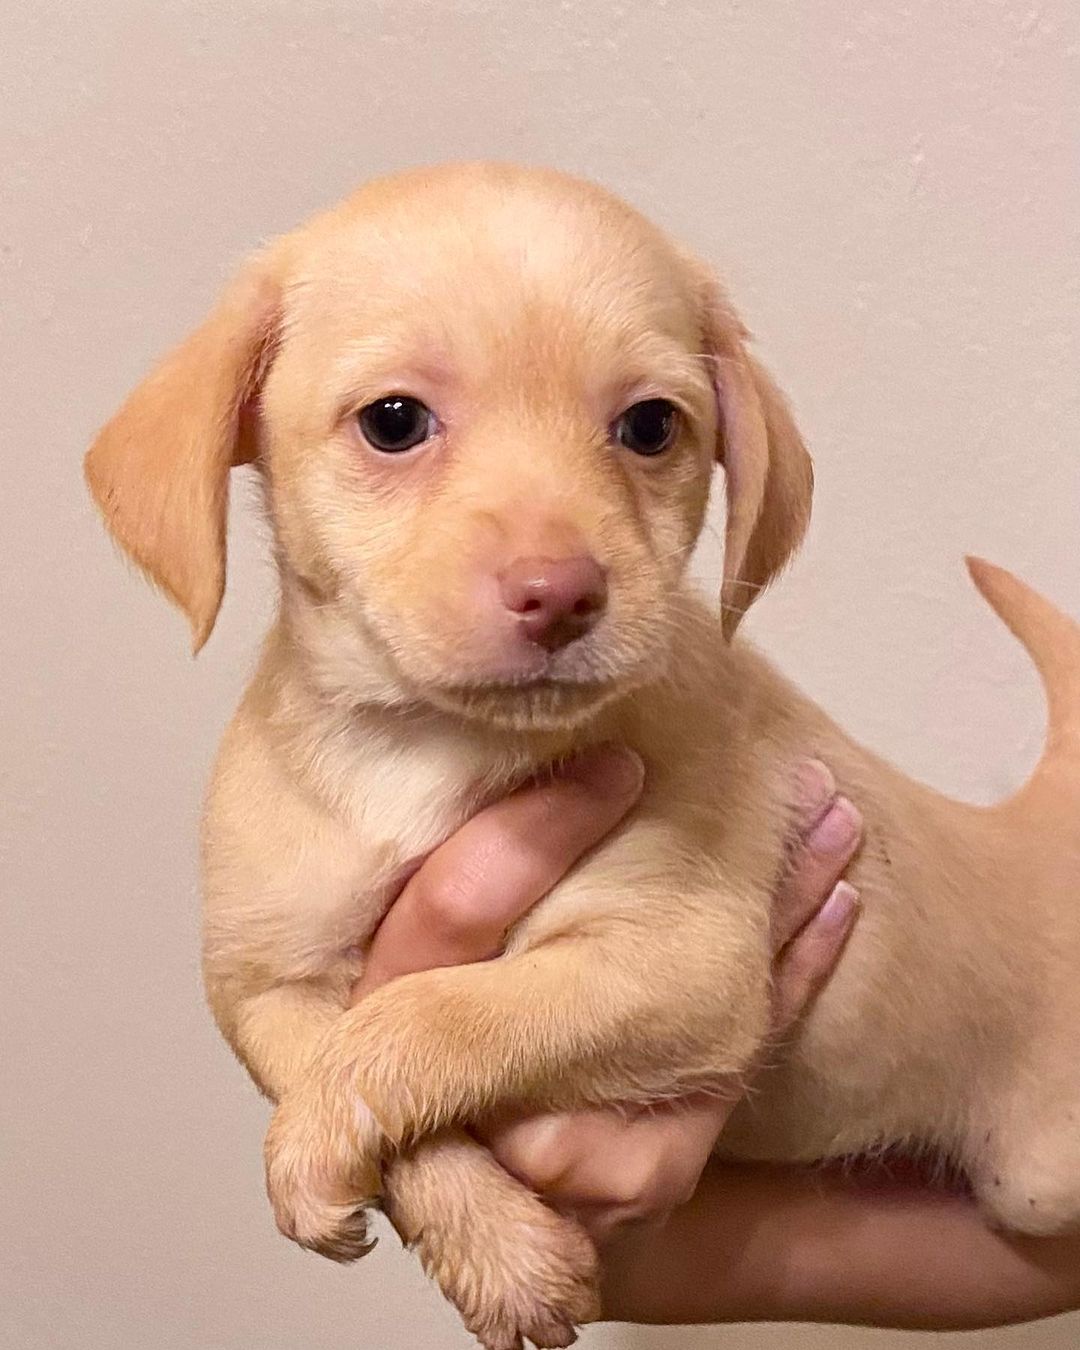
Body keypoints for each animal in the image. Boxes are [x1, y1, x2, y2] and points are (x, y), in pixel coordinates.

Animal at [84, 163, 1080, 1344]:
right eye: (393, 422)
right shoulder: (262, 982)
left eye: (651, 426)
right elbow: (332, 1055)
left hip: (1042, 1176)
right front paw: (500, 1251)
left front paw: (320, 1152)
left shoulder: (673, 959)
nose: (560, 593)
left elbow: (434, 1019)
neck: (426, 748)